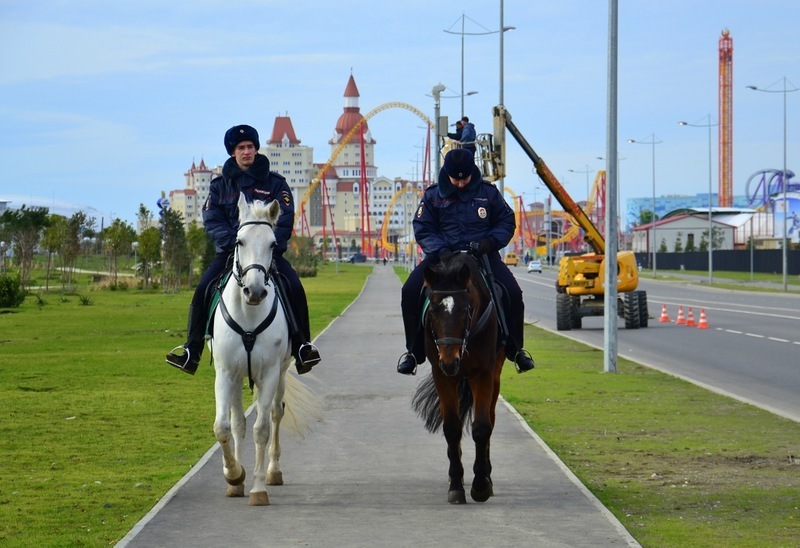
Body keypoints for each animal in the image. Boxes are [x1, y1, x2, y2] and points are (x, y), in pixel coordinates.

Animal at [212, 194, 318, 506]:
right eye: (239, 241)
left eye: (272, 244)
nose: (255, 291)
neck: (249, 314)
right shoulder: (225, 373)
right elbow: (223, 427)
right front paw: (234, 476)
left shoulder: (269, 373)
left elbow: (261, 429)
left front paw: (258, 489)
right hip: (237, 379)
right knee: (237, 423)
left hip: (279, 374)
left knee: (274, 414)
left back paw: (272, 472)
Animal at [412, 250, 506, 504]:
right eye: (433, 311)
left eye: (465, 310)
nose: (450, 360)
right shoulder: (442, 375)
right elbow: (452, 428)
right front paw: (456, 484)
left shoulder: (483, 374)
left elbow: (482, 427)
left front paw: (480, 485)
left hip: (494, 377)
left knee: (491, 419)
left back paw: (487, 475)